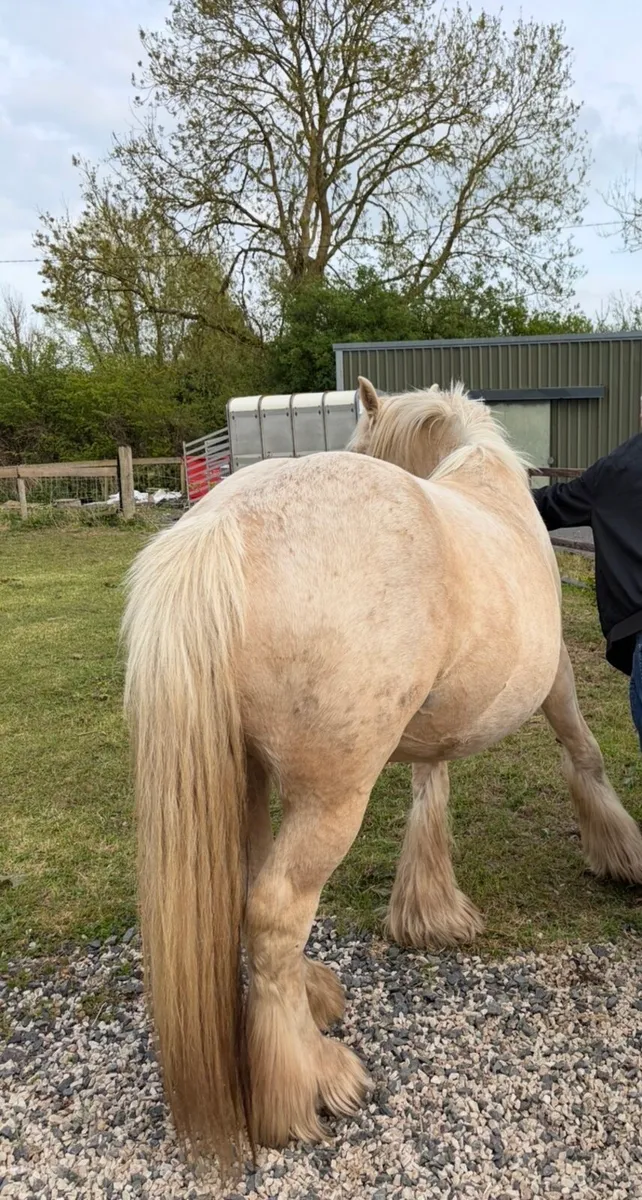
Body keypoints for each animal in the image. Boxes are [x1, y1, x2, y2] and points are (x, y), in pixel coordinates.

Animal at [122, 377, 642, 1172]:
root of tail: (221, 526)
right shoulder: (555, 675)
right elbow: (583, 753)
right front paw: (620, 852)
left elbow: (432, 787)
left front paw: (429, 911)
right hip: (331, 796)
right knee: (276, 912)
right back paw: (309, 1081)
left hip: (250, 778)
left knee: (252, 890)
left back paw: (310, 996)